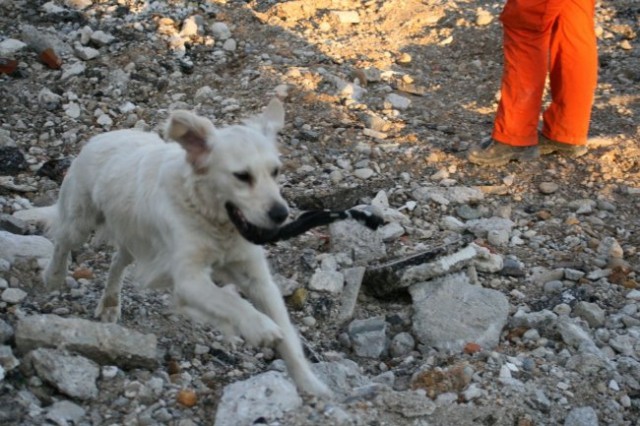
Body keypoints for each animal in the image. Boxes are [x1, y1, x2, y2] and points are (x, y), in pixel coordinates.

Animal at [32, 98, 330, 398]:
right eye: (242, 176)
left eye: (275, 171)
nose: (281, 214)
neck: (210, 217)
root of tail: (101, 136)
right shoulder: (189, 278)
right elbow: (232, 301)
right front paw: (261, 327)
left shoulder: (258, 279)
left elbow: (288, 336)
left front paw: (311, 385)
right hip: (81, 222)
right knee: (63, 242)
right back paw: (54, 277)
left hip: (135, 237)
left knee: (117, 261)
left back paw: (110, 304)